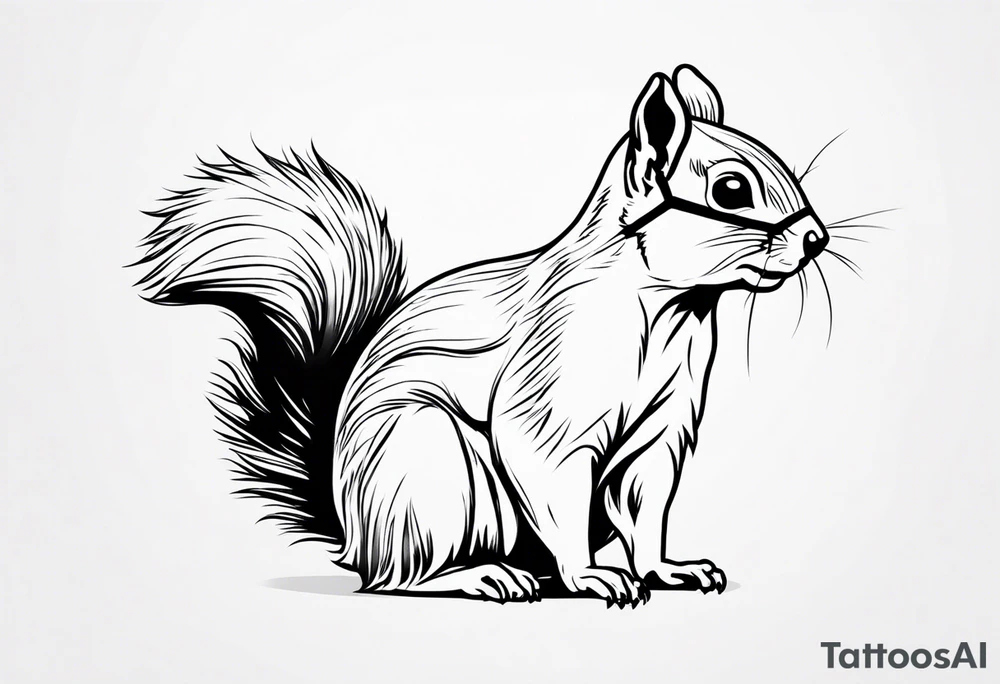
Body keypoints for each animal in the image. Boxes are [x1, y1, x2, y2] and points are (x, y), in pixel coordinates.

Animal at [136, 65, 829, 607]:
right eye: (730, 189)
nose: (816, 237)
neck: (669, 309)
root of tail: (356, 537)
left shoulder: (664, 427)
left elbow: (646, 504)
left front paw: (666, 568)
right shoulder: (551, 392)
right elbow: (547, 470)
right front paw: (591, 576)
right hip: (426, 467)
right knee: (401, 578)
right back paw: (482, 575)